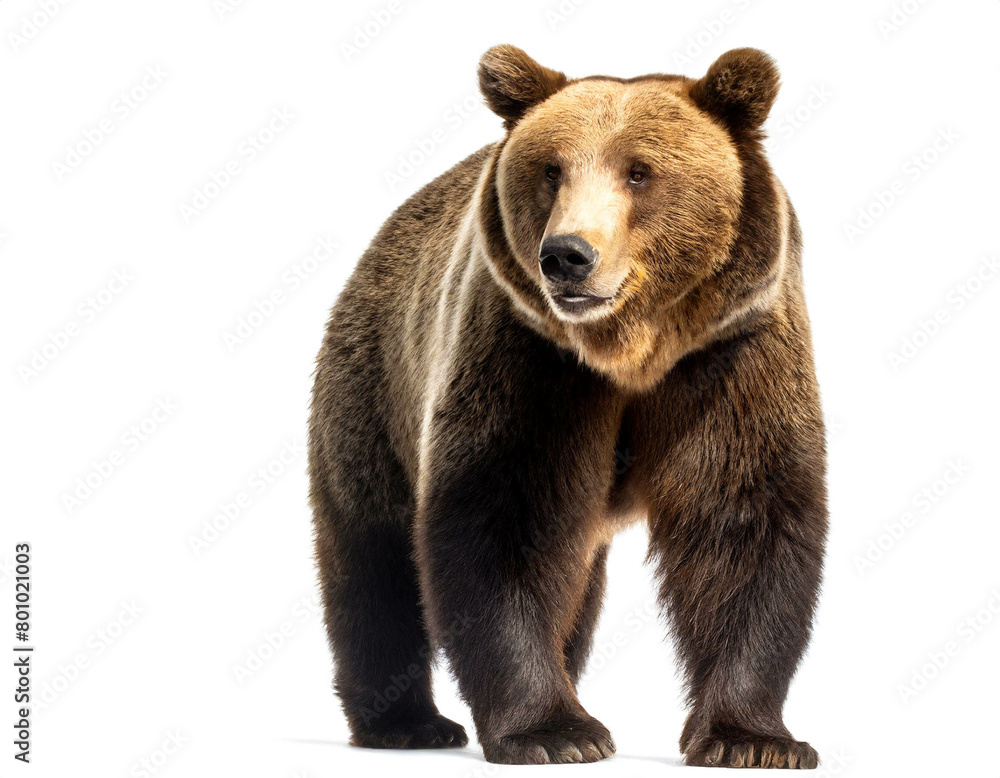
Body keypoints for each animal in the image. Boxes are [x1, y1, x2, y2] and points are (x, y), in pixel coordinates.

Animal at [309, 45, 827, 769]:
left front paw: (751, 740)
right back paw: (406, 722)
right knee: (373, 558)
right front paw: (555, 733)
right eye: (551, 170)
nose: (566, 256)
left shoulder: (732, 352)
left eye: (640, 171)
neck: (630, 350)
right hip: (376, 389)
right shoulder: (528, 355)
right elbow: (504, 520)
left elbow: (743, 521)